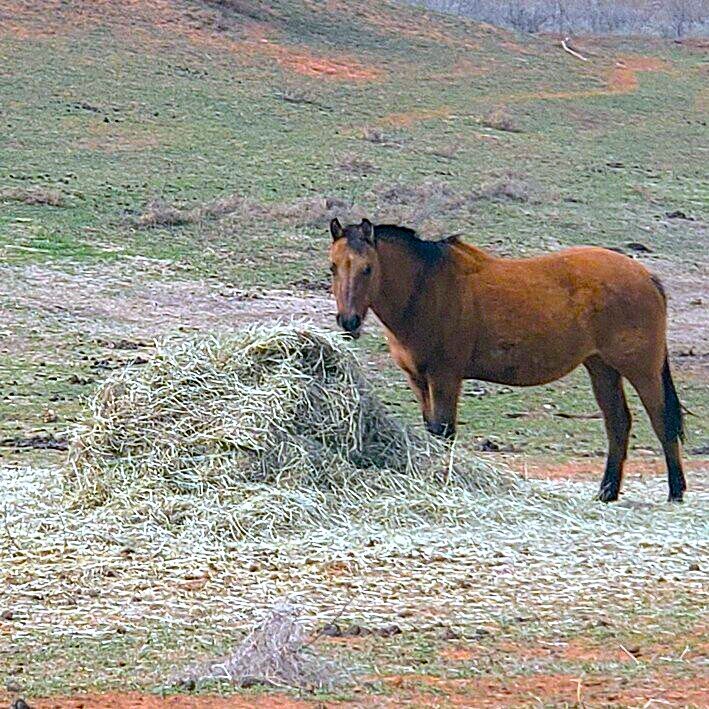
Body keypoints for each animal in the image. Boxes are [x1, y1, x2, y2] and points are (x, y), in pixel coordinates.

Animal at [328, 218, 686, 502]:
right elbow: (432, 431)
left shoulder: (445, 377)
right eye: (333, 267)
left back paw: (676, 490)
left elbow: (444, 431)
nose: (348, 321)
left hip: (641, 369)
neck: (427, 288)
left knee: (661, 420)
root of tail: (645, 275)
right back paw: (607, 491)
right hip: (602, 368)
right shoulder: (418, 379)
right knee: (618, 423)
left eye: (367, 268)